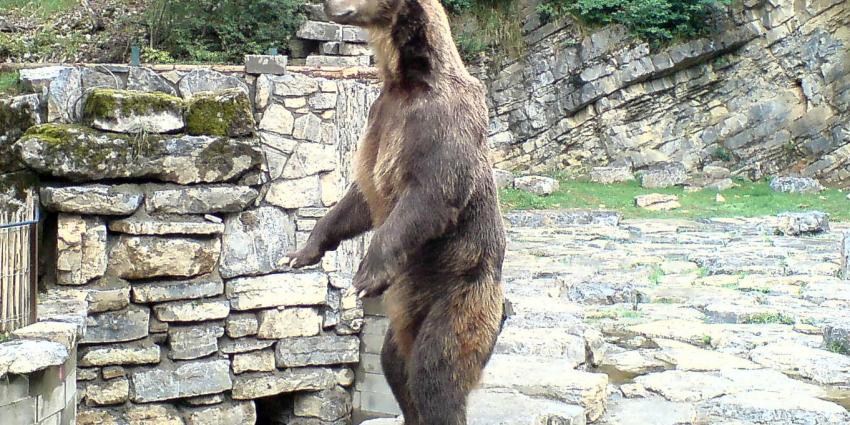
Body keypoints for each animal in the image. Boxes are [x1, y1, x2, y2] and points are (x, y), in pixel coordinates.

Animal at [284, 0, 504, 422]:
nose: (323, 4)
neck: (406, 77)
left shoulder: (441, 122)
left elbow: (431, 193)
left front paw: (366, 274)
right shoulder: (381, 117)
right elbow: (357, 200)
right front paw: (302, 251)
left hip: (461, 296)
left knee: (435, 371)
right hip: (404, 315)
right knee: (394, 365)